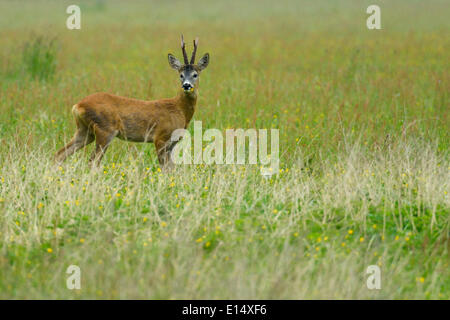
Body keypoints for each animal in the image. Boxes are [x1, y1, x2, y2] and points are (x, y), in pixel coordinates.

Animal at [55, 36, 210, 169]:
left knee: (60, 154)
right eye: (181, 75)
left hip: (84, 131)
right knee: (92, 162)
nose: (186, 85)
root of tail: (77, 106)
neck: (179, 109)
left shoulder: (171, 143)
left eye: (195, 74)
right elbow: (165, 169)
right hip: (104, 130)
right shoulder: (160, 138)